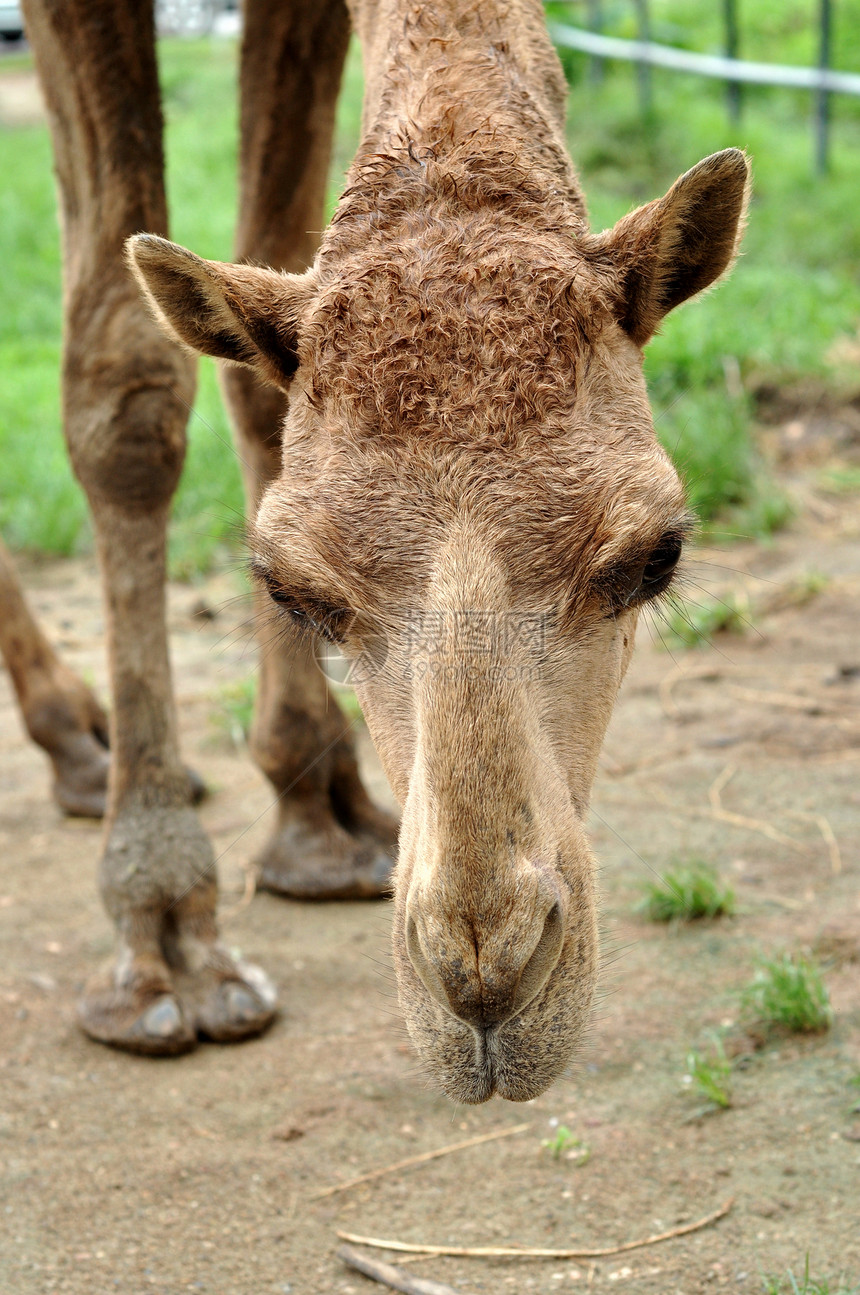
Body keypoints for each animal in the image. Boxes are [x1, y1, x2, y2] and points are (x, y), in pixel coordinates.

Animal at [18, 0, 746, 1103]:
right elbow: (125, 392)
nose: (484, 980)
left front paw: (314, 817)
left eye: (653, 556)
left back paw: (80, 739)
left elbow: (259, 359)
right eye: (293, 588)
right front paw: (165, 934)